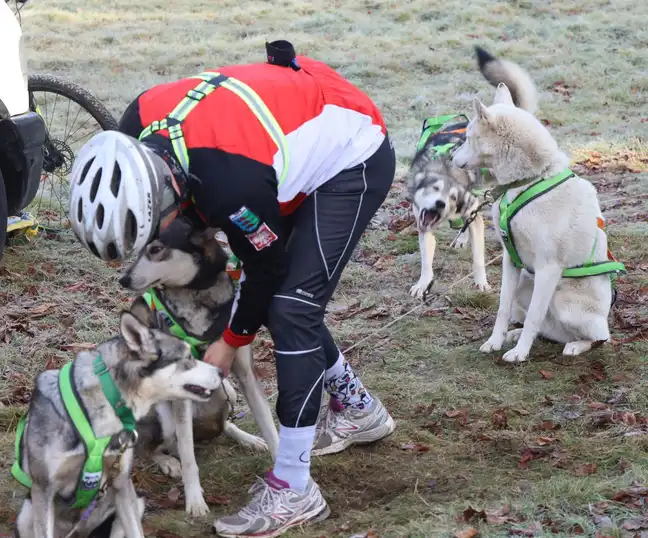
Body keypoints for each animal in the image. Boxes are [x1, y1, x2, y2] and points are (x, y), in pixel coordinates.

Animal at [13, 308, 223, 532]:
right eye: (188, 357)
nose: (221, 371)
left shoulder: (121, 481)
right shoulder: (44, 490)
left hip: (136, 502)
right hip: (26, 516)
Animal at [119, 217, 278, 516]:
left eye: (156, 249)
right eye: (139, 249)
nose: (123, 279)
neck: (198, 293)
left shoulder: (245, 374)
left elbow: (269, 425)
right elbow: (189, 457)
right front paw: (195, 500)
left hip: (228, 389)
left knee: (223, 424)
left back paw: (246, 438)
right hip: (162, 412)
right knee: (154, 447)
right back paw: (169, 462)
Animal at [454, 48, 624, 362]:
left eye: (468, 138)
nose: (452, 159)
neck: (528, 182)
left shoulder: (548, 268)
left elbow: (534, 314)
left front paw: (520, 354)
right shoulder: (511, 261)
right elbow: (503, 307)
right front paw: (496, 341)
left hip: (564, 301)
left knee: (598, 337)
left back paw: (575, 345)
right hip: (525, 283)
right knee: (548, 330)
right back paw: (518, 334)